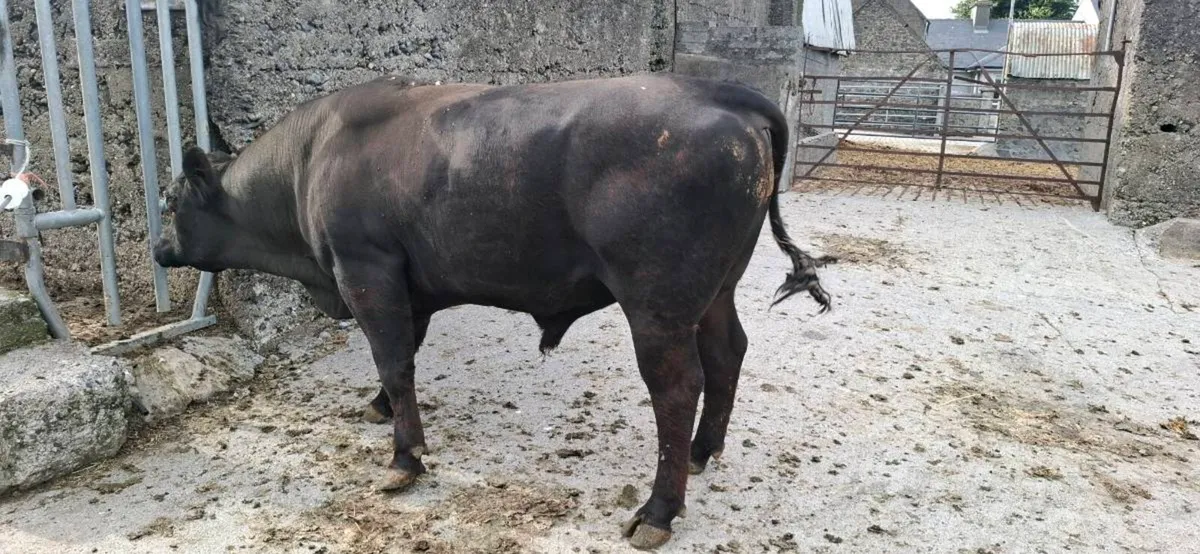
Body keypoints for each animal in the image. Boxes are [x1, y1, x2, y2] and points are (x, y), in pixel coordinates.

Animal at [154, 72, 834, 550]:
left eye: (170, 201)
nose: (157, 248)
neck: (310, 159)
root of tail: (724, 92)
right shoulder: (408, 282)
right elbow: (400, 355)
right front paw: (379, 409)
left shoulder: (366, 269)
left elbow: (394, 359)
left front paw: (404, 458)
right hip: (717, 289)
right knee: (727, 354)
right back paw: (701, 449)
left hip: (657, 303)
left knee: (677, 386)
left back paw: (657, 511)